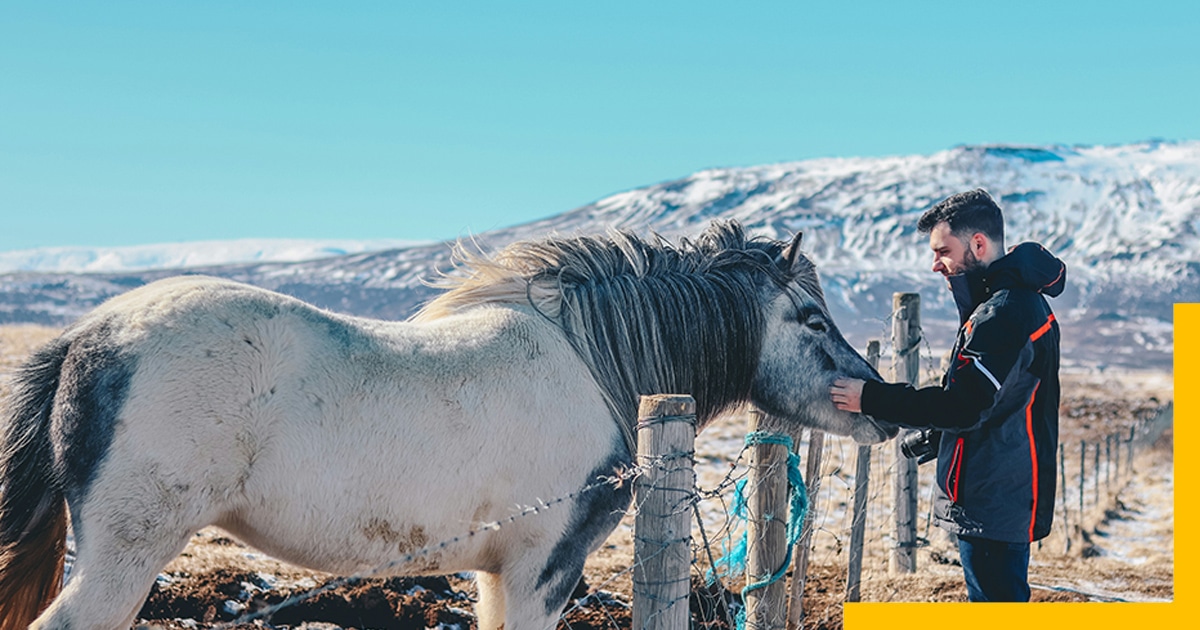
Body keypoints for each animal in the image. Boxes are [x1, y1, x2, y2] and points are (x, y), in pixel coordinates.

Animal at [0, 219, 897, 628]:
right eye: (813, 319)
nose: (877, 407)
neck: (591, 361)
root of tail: (86, 337)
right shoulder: (545, 567)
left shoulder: (500, 572)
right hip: (128, 551)